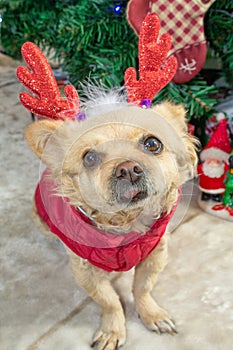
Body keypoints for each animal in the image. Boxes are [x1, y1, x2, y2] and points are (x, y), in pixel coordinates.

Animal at [16, 14, 198, 350]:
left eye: (153, 144)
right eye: (89, 157)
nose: (128, 169)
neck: (125, 226)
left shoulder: (156, 254)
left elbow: (142, 288)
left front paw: (151, 315)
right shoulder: (85, 270)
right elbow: (110, 300)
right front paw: (113, 330)